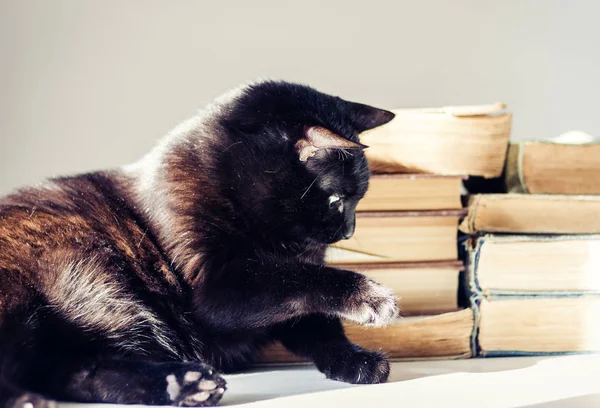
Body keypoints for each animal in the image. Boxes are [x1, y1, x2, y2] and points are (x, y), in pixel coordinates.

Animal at [2, 80, 400, 408]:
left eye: (357, 201)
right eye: (336, 200)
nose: (348, 230)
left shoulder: (287, 307)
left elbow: (319, 325)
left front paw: (357, 360)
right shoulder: (214, 290)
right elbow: (300, 281)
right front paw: (370, 296)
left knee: (79, 371)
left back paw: (187, 385)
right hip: (21, 302)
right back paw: (27, 400)